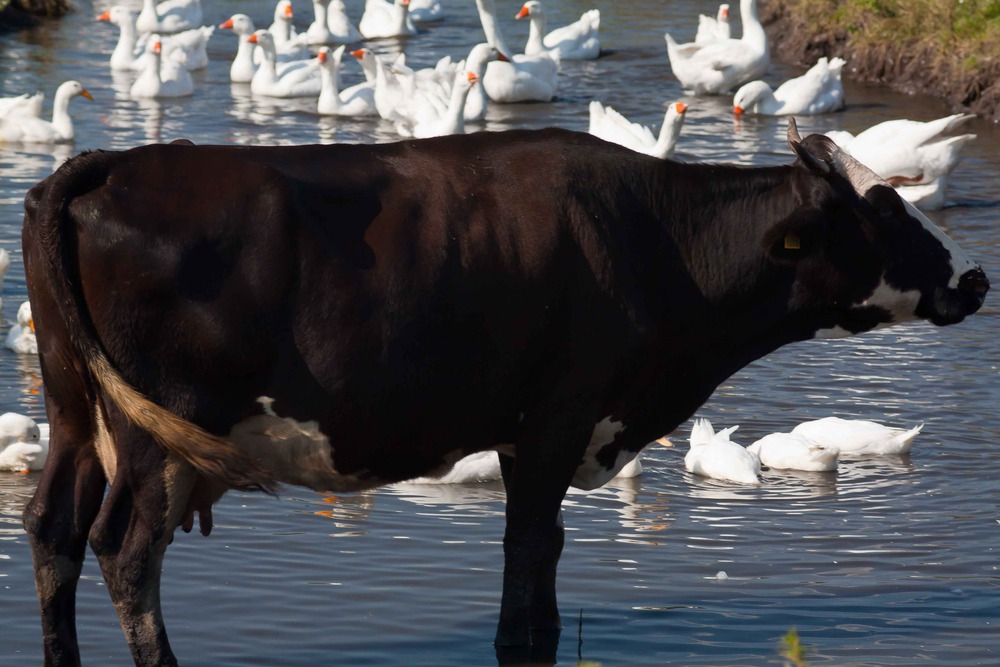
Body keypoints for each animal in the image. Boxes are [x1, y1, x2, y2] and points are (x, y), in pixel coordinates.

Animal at [21, 121, 984, 667]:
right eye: (883, 210)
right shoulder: (557, 417)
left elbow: (543, 556)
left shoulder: (531, 434)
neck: (653, 238)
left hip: (74, 413)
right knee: (126, 551)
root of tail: (106, 167)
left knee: (54, 530)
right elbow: (528, 557)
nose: (972, 277)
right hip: (155, 435)